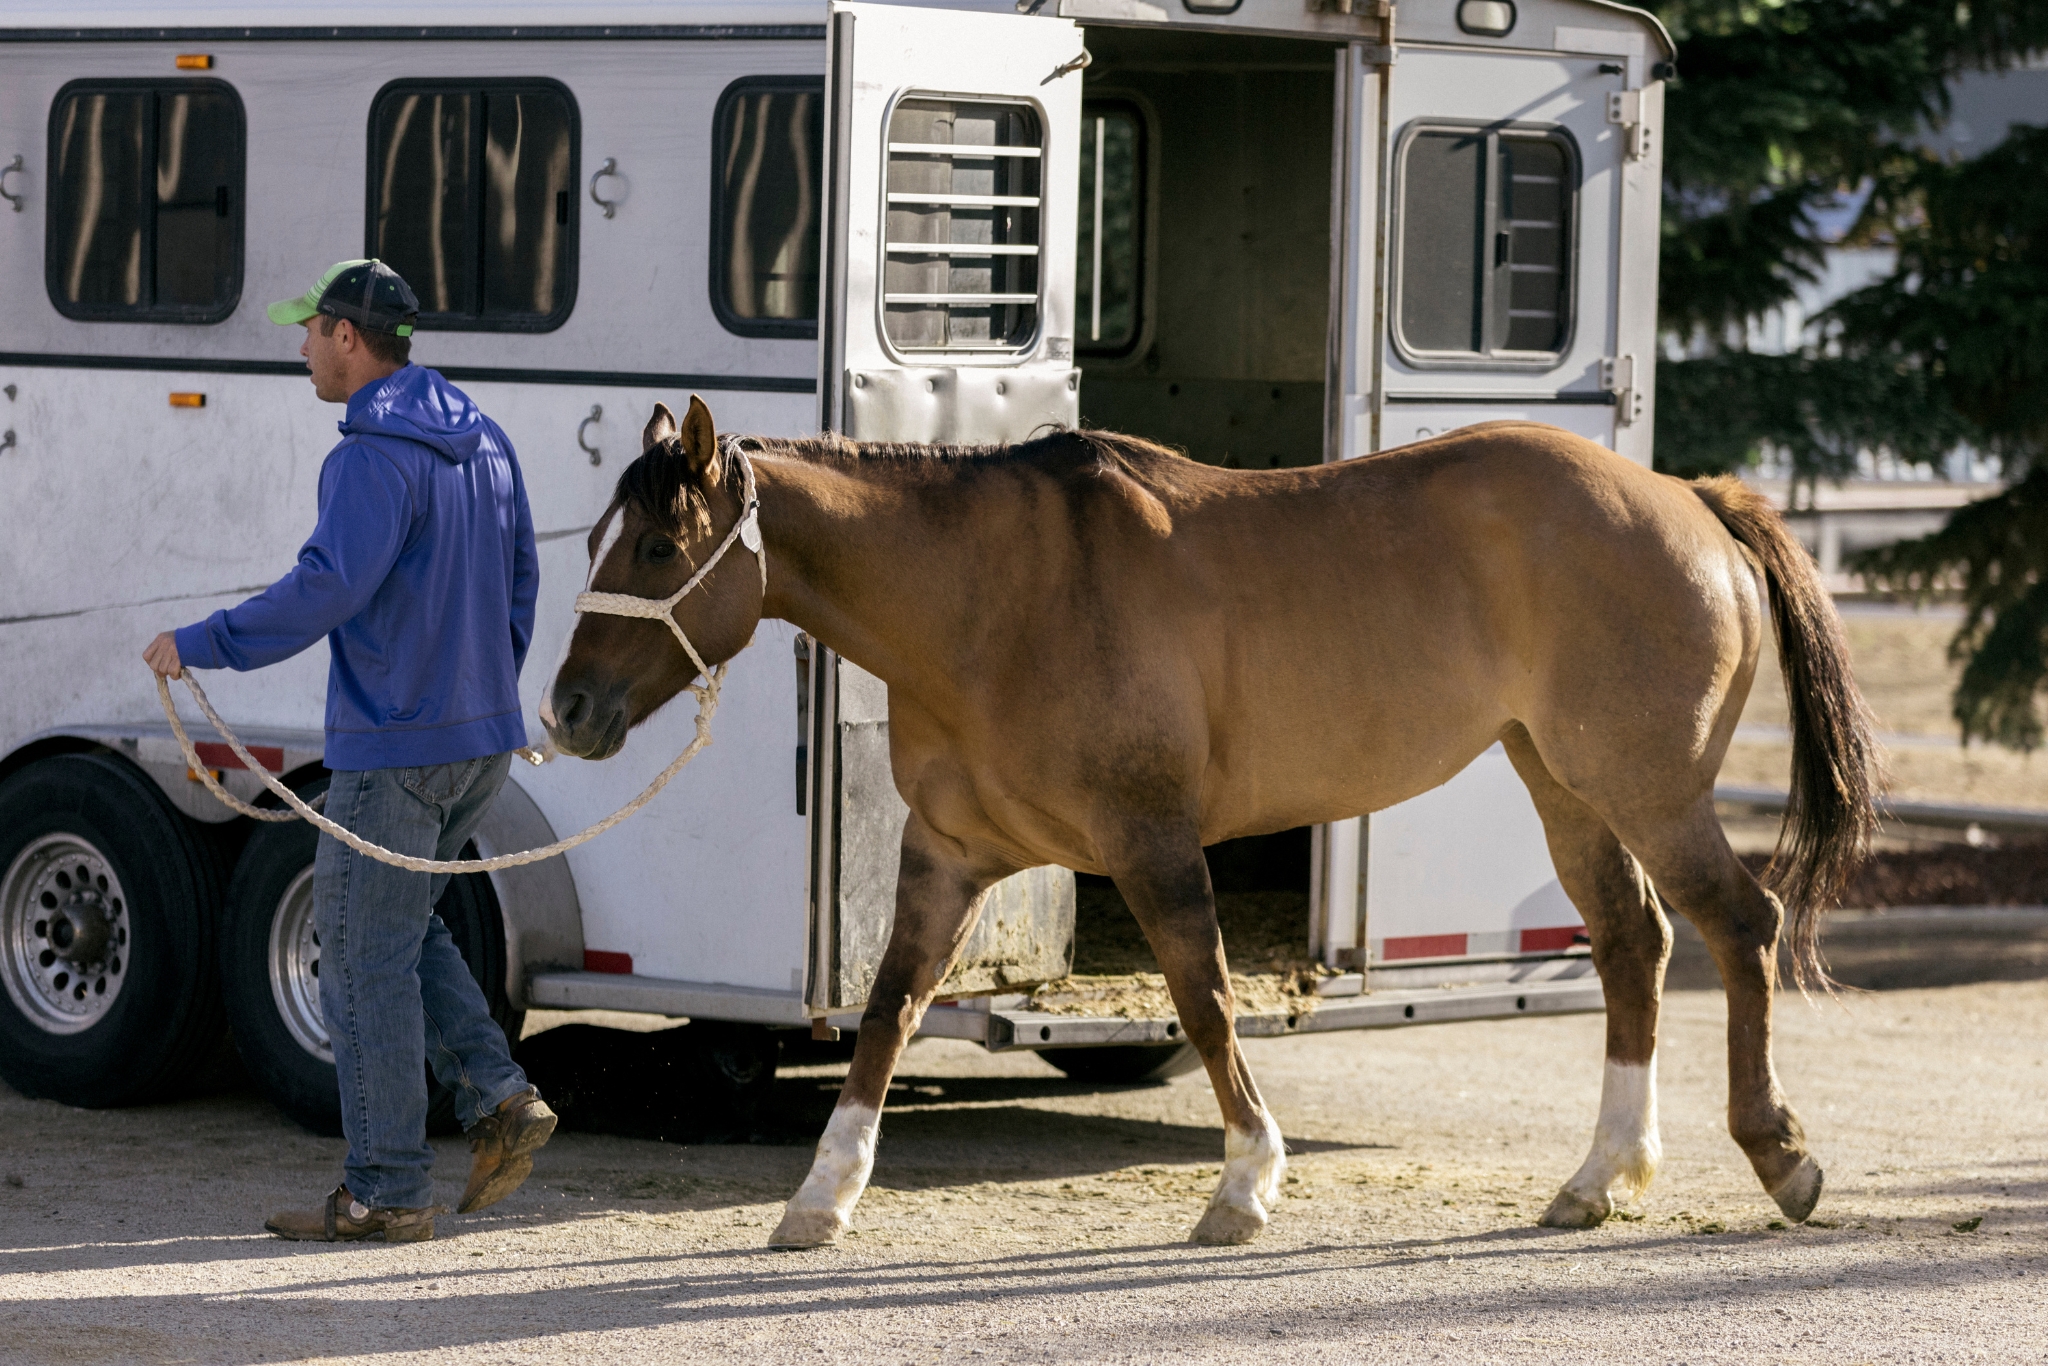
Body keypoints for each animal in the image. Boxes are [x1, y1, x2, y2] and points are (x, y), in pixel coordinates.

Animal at [542, 396, 1878, 1248]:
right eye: (600, 537)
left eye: (656, 544)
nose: (566, 709)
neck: (993, 598)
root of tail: (1688, 502)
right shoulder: (946, 858)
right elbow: (886, 1011)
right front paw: (820, 1199)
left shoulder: (1149, 842)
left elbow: (1204, 995)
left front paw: (1243, 1186)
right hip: (1560, 781)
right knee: (1631, 944)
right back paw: (1599, 1177)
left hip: (1645, 787)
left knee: (1738, 926)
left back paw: (1781, 1157)